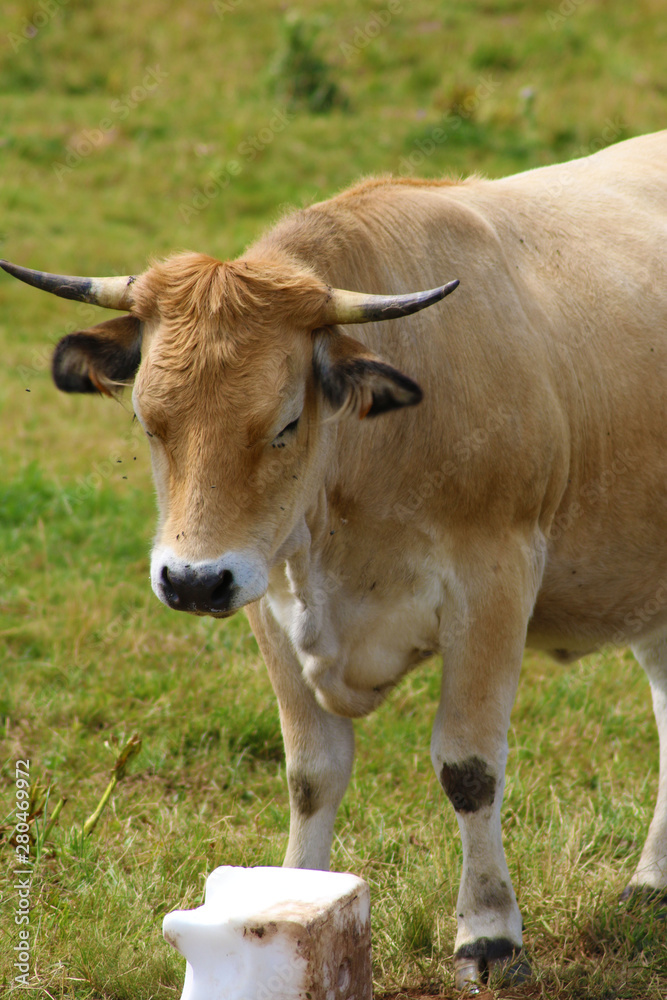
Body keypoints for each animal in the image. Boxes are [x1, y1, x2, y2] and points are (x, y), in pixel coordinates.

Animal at [3, 127, 667, 992]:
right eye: (149, 421)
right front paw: (292, 903)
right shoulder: (264, 591)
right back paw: (650, 882)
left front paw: (489, 934)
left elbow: (468, 766)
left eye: (286, 424)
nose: (190, 579)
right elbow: (312, 770)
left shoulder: (492, 585)